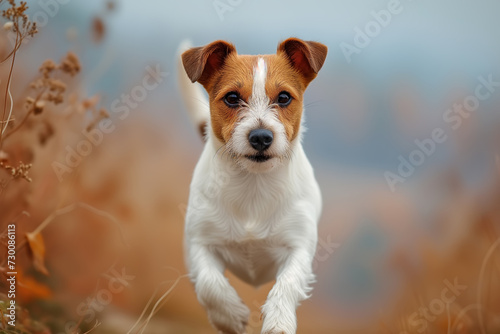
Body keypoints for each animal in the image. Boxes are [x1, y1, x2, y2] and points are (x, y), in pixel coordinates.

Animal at [178, 37, 326, 332]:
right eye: (232, 98)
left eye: (284, 97)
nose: (260, 137)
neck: (253, 183)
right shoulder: (199, 244)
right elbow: (210, 285)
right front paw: (230, 316)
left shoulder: (298, 248)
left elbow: (287, 284)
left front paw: (278, 322)